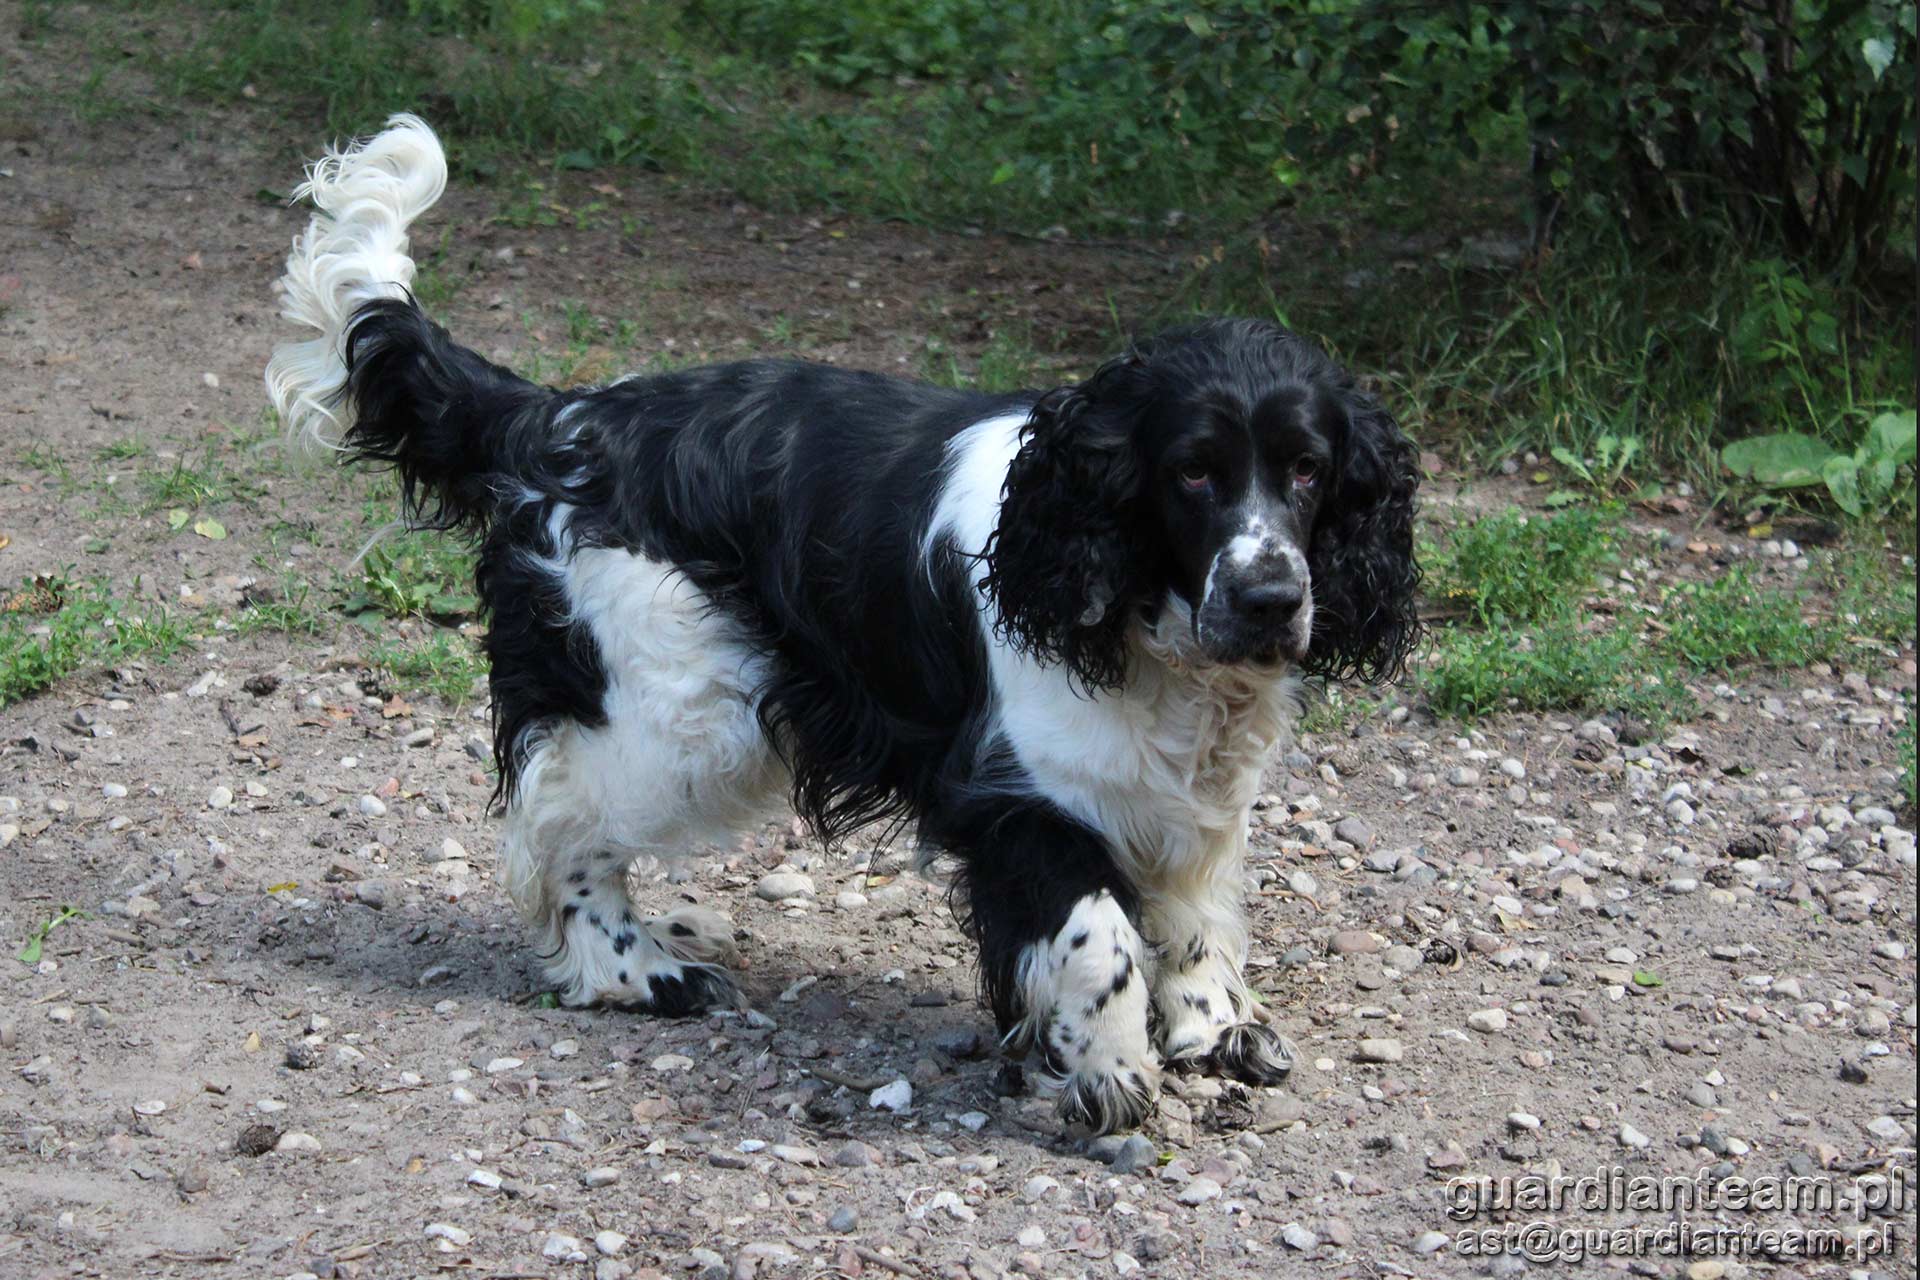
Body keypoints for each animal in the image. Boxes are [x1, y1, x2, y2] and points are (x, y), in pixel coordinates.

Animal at [266, 117, 1413, 1128]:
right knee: (559, 828)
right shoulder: (1018, 794)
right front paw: (1112, 1068)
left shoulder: (1185, 795)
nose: (1271, 599)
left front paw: (1211, 1027)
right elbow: (1099, 935)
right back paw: (637, 971)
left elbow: (1193, 913)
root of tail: (556, 419)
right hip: (680, 705)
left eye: (1309, 470)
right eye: (1192, 473)